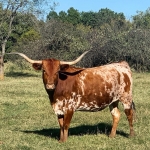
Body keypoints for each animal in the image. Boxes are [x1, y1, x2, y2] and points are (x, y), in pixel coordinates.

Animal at [7, 51, 136, 142]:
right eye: (44, 71)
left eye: (57, 71)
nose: (50, 85)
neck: (55, 95)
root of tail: (121, 64)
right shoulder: (58, 108)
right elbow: (60, 125)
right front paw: (60, 140)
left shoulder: (69, 108)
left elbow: (66, 124)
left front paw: (64, 142)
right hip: (113, 100)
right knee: (116, 115)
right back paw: (111, 136)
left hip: (126, 98)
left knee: (129, 115)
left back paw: (131, 135)